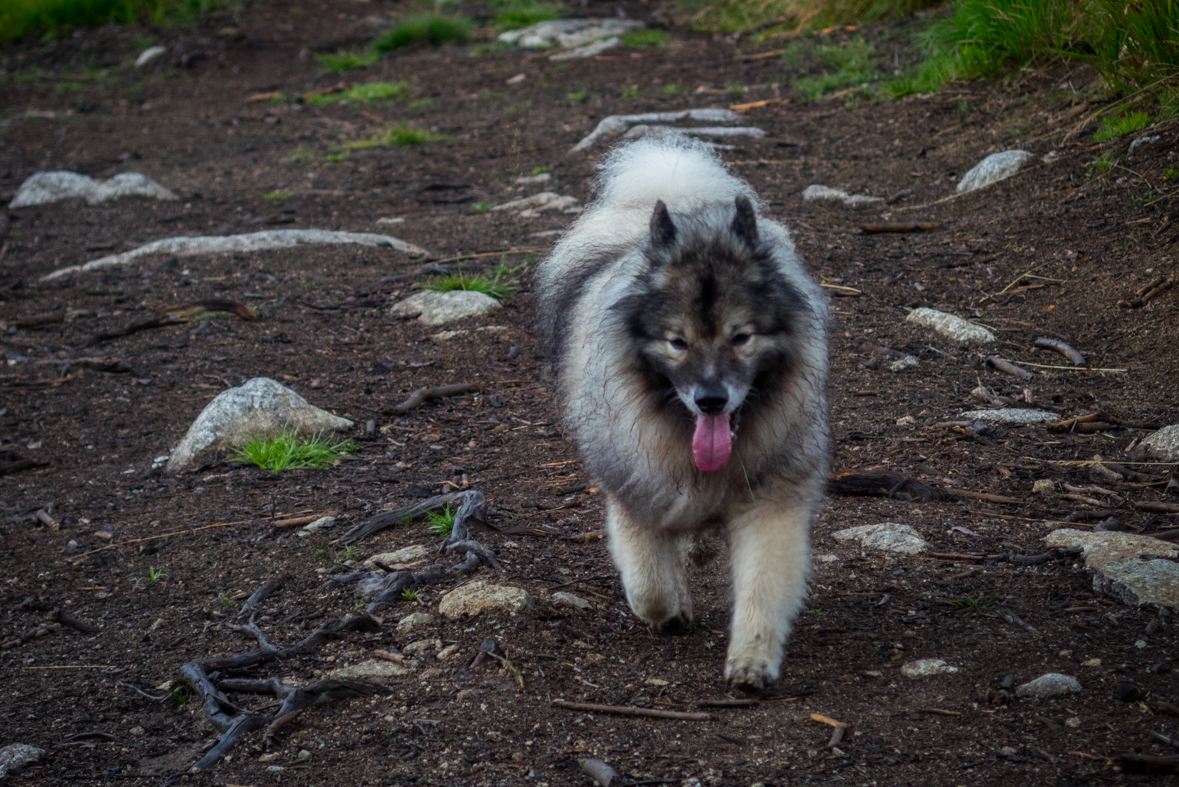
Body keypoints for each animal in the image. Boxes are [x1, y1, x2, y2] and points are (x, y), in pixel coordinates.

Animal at [539, 135, 834, 688]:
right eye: (678, 342)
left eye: (741, 337)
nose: (711, 399)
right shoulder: (635, 490)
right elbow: (648, 585)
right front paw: (672, 611)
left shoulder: (771, 501)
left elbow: (763, 584)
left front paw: (752, 660)